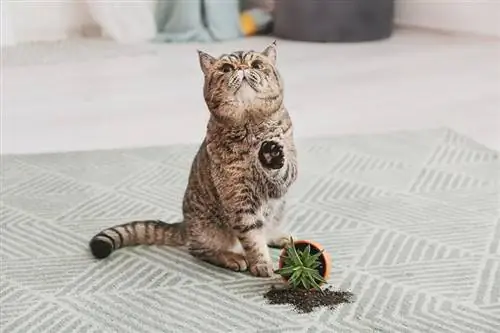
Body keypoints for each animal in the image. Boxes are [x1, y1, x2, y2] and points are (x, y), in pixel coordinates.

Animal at [89, 40, 296, 278]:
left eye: (257, 64)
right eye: (227, 68)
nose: (243, 68)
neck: (250, 124)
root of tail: (185, 224)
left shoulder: (286, 173)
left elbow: (283, 170)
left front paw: (271, 153)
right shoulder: (238, 198)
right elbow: (252, 237)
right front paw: (261, 264)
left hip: (278, 209)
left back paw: (279, 237)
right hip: (210, 230)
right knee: (198, 250)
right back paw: (232, 258)